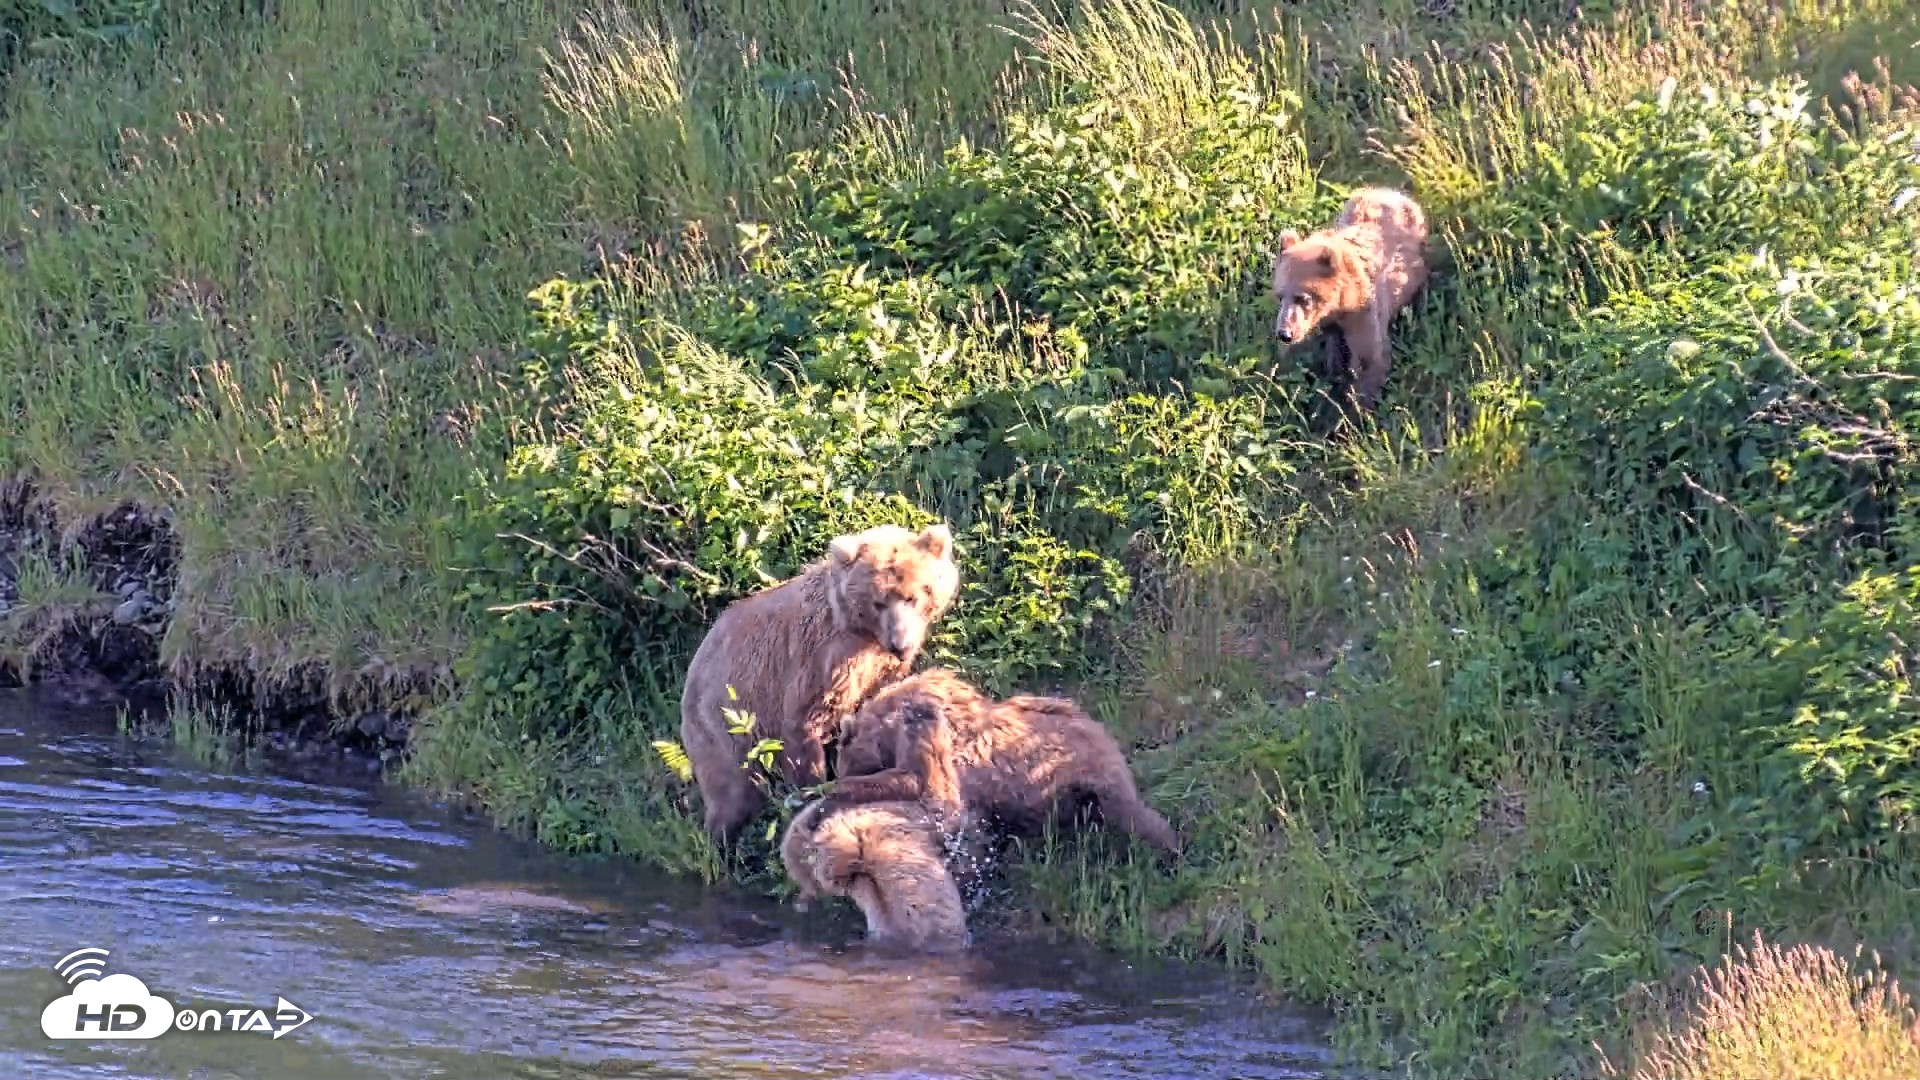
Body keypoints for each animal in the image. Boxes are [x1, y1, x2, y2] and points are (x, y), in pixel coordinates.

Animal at [680, 522, 961, 846]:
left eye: (913, 596)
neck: (865, 635)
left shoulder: (879, 668)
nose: (899, 643)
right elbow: (804, 724)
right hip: (723, 721)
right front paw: (811, 790)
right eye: (878, 601)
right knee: (732, 790)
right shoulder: (822, 662)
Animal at [833, 668, 1183, 863]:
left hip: (1086, 773)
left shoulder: (942, 745)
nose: (839, 771)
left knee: (1129, 811)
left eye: (843, 762)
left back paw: (1170, 849)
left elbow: (930, 787)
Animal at [1270, 186, 1430, 413]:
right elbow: (1337, 352)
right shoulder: (1333, 322)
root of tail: (1389, 191)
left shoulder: (1364, 312)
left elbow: (1369, 358)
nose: (1284, 334)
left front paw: (1356, 409)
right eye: (1279, 295)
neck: (1343, 302)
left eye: (1302, 298)